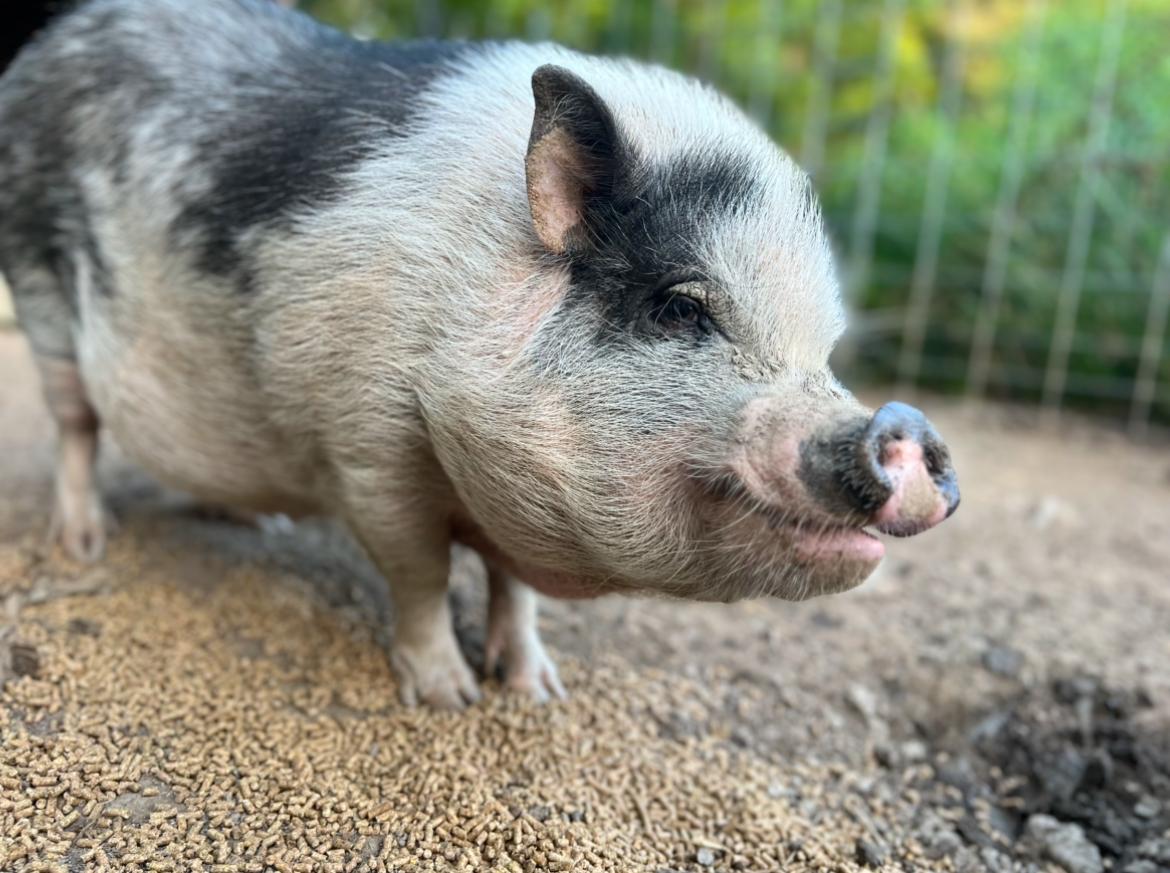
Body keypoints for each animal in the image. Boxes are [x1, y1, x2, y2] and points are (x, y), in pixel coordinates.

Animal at [0, 0, 958, 708]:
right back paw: (83, 546)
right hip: (41, 298)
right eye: (682, 306)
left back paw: (251, 523)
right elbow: (421, 574)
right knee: (75, 426)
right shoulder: (366, 441)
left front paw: (539, 693)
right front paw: (448, 697)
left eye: (826, 349)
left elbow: (515, 590)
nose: (903, 423)